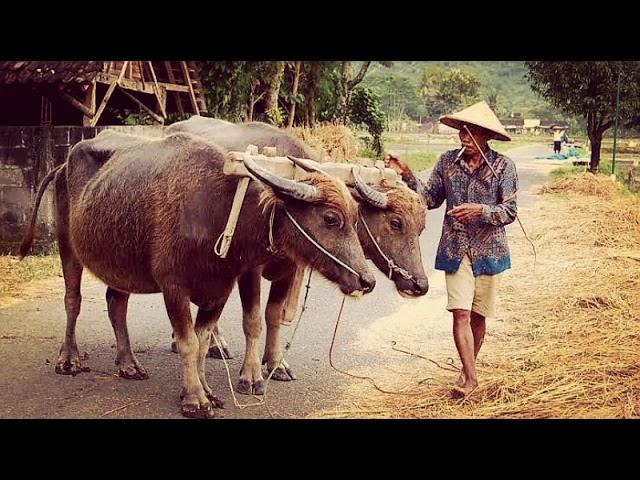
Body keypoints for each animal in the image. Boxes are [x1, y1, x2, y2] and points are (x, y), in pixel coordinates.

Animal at [20, 127, 376, 416]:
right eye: (331, 218)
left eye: (356, 217)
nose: (367, 280)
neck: (218, 210)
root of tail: (62, 165)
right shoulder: (174, 288)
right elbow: (188, 341)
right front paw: (194, 399)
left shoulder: (220, 289)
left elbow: (204, 342)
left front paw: (206, 390)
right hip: (67, 246)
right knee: (73, 300)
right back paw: (69, 359)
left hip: (118, 259)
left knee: (116, 304)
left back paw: (128, 363)